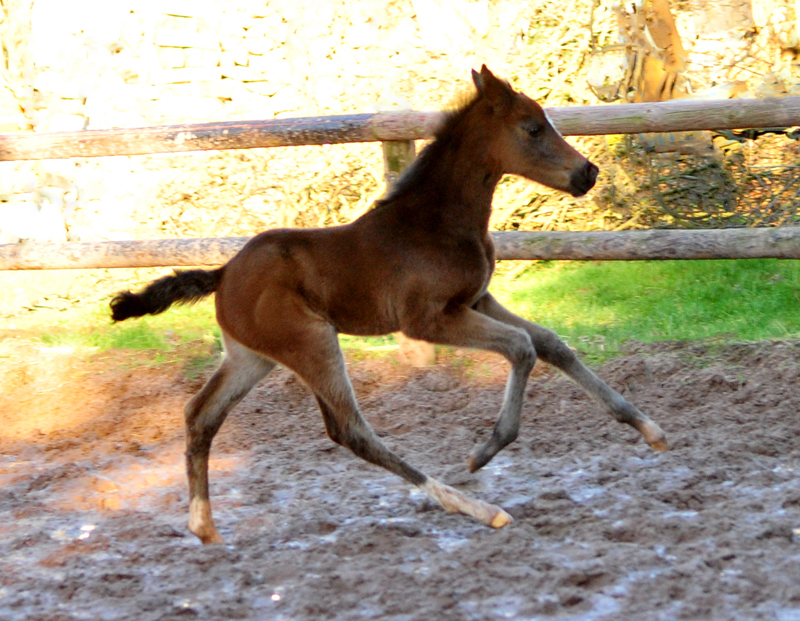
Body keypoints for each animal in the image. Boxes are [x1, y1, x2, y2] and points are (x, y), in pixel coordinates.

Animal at [109, 65, 664, 544]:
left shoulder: (478, 299)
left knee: (200, 415)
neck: (437, 221)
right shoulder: (429, 319)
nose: (588, 173)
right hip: (311, 342)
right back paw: (476, 507)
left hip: (253, 358)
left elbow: (551, 343)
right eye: (532, 128)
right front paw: (484, 451)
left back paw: (204, 527)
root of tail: (223, 274)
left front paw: (648, 427)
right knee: (350, 430)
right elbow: (522, 347)